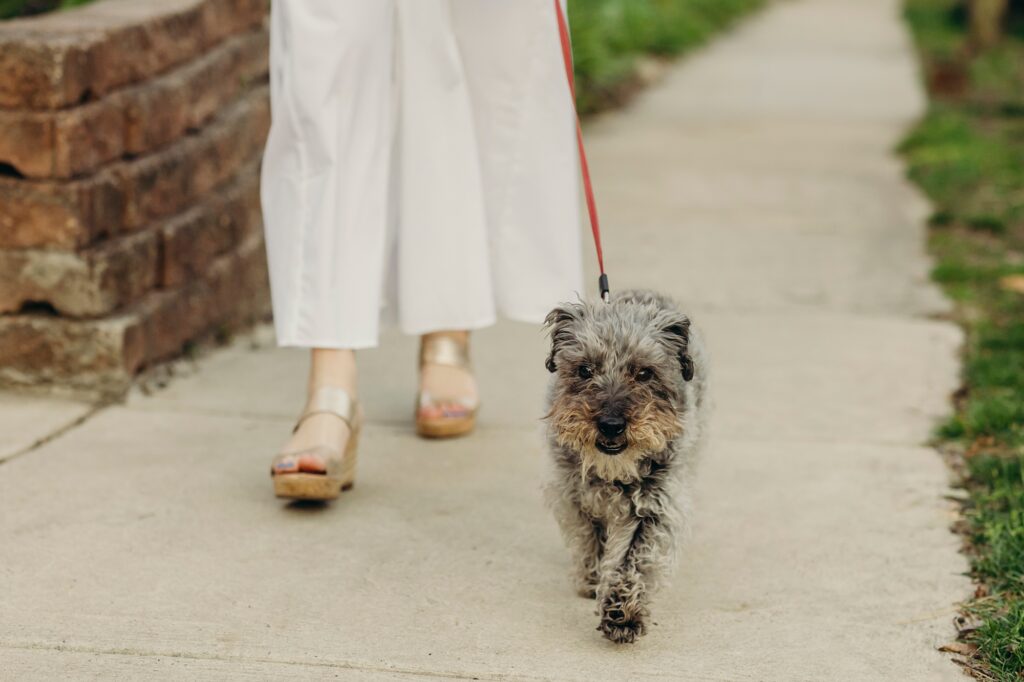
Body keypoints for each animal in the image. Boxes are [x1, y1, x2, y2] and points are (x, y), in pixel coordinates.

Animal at [540, 288, 708, 638]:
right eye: (584, 370)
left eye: (644, 373)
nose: (611, 425)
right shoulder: (572, 493)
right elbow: (589, 535)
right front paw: (592, 578)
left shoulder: (657, 505)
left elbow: (634, 559)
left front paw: (623, 612)